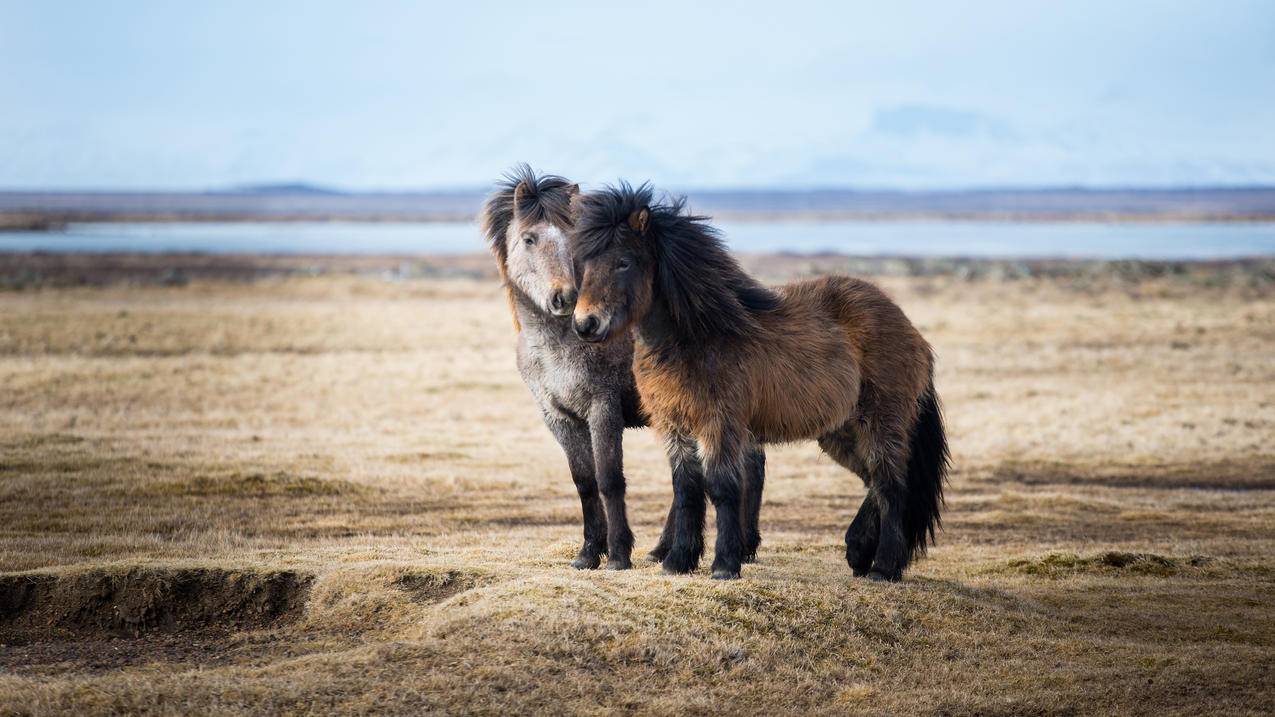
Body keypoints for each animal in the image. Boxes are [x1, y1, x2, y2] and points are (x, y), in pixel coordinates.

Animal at [481, 163, 765, 569]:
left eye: (574, 240)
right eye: (529, 239)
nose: (564, 297)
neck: (559, 346)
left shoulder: (603, 409)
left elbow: (609, 479)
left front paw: (617, 553)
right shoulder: (558, 417)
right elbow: (584, 481)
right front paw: (588, 553)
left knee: (747, 464)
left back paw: (741, 547)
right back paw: (665, 550)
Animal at [568, 181, 948, 576]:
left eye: (623, 261)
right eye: (584, 262)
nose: (585, 324)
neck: (698, 336)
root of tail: (911, 330)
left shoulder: (719, 423)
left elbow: (721, 488)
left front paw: (724, 565)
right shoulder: (675, 425)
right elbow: (686, 489)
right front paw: (678, 561)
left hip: (881, 421)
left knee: (891, 485)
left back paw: (883, 567)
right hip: (840, 431)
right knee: (874, 480)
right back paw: (858, 552)